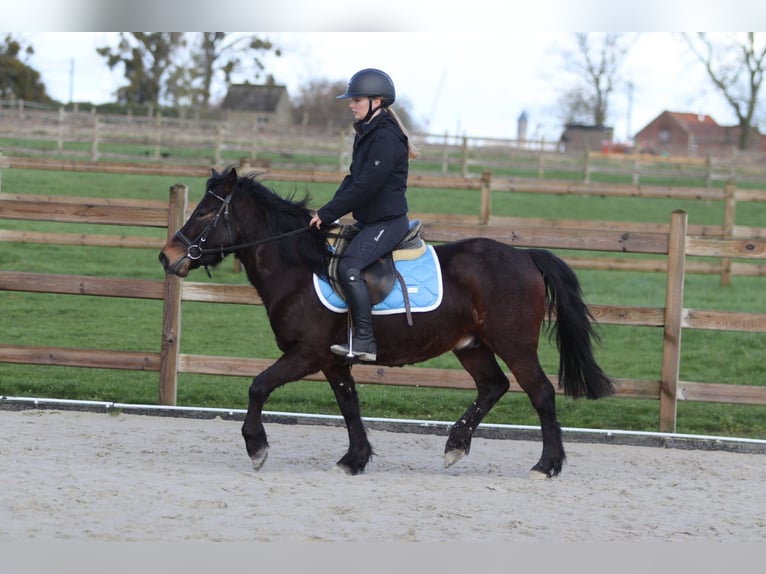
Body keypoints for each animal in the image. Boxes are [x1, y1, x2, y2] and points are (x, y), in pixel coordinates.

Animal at [159, 166, 615, 478]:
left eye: (205, 214)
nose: (167, 256)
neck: (299, 268)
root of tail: (525, 256)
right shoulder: (333, 360)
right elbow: (349, 406)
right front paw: (354, 459)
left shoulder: (306, 354)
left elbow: (258, 387)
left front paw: (256, 448)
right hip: (471, 345)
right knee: (493, 386)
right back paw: (456, 445)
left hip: (514, 343)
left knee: (541, 393)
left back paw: (547, 465)